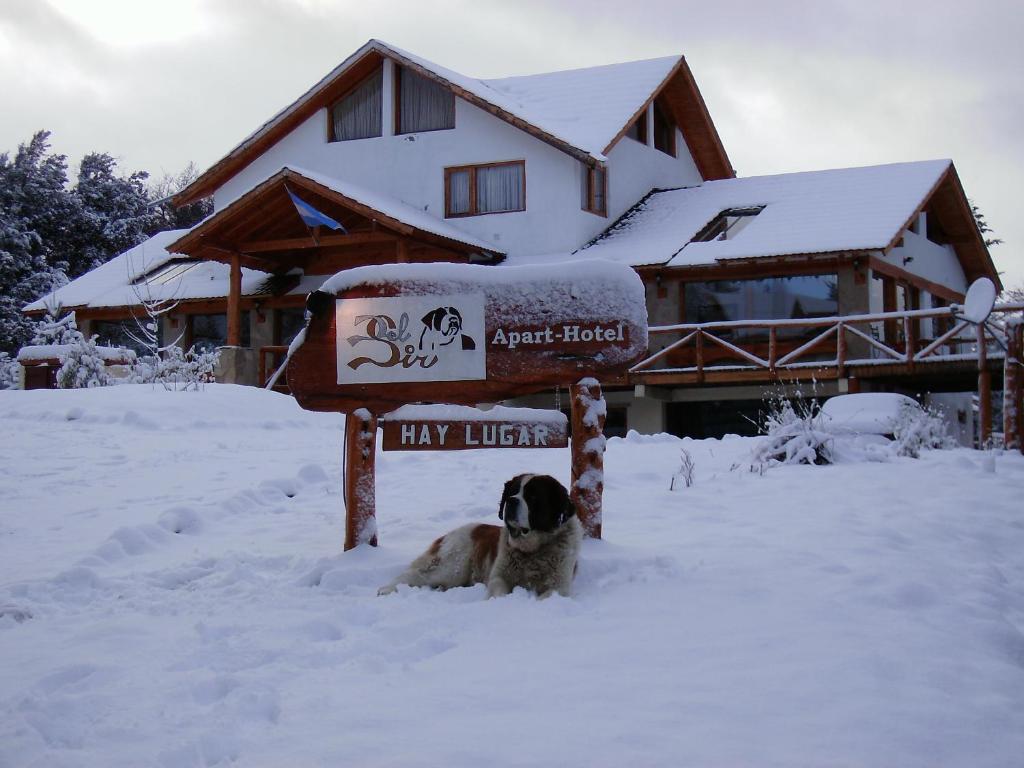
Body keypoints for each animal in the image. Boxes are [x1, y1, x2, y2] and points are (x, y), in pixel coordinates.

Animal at [378, 475, 585, 602]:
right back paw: (386, 589)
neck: (532, 551)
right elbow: (499, 590)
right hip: (452, 566)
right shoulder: (499, 577)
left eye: (533, 497)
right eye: (512, 491)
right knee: (415, 574)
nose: (511, 501)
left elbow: (549, 594)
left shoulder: (559, 586)